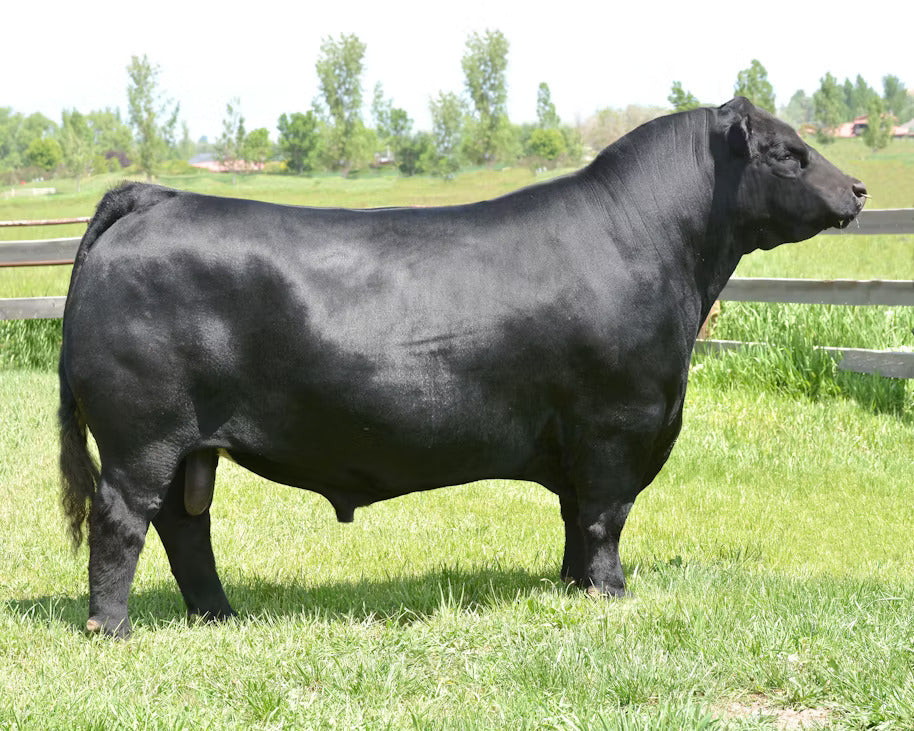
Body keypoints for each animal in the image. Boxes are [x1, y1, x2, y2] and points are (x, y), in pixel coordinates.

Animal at [58, 97, 866, 637]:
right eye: (785, 152)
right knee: (122, 519)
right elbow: (606, 517)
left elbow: (576, 518)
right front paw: (611, 596)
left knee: (184, 526)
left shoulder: (585, 439)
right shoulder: (619, 423)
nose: (858, 189)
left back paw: (221, 616)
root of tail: (155, 198)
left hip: (189, 445)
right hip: (142, 435)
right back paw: (112, 628)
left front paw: (572, 587)